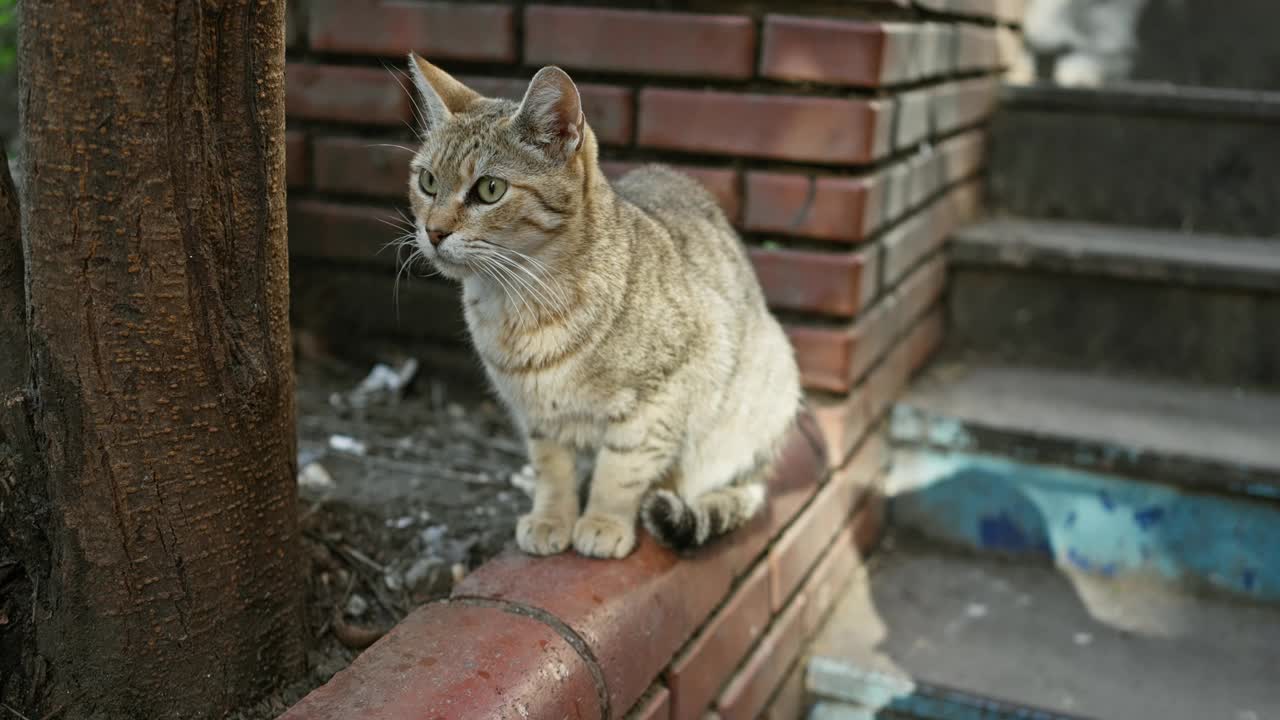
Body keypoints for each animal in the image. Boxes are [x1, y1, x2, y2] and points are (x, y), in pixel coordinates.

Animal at [404, 57, 798, 561]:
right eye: (427, 181)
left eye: (490, 189)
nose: (433, 231)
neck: (521, 302)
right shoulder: (538, 415)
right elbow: (552, 469)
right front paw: (552, 518)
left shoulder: (662, 394)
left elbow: (622, 468)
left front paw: (603, 521)